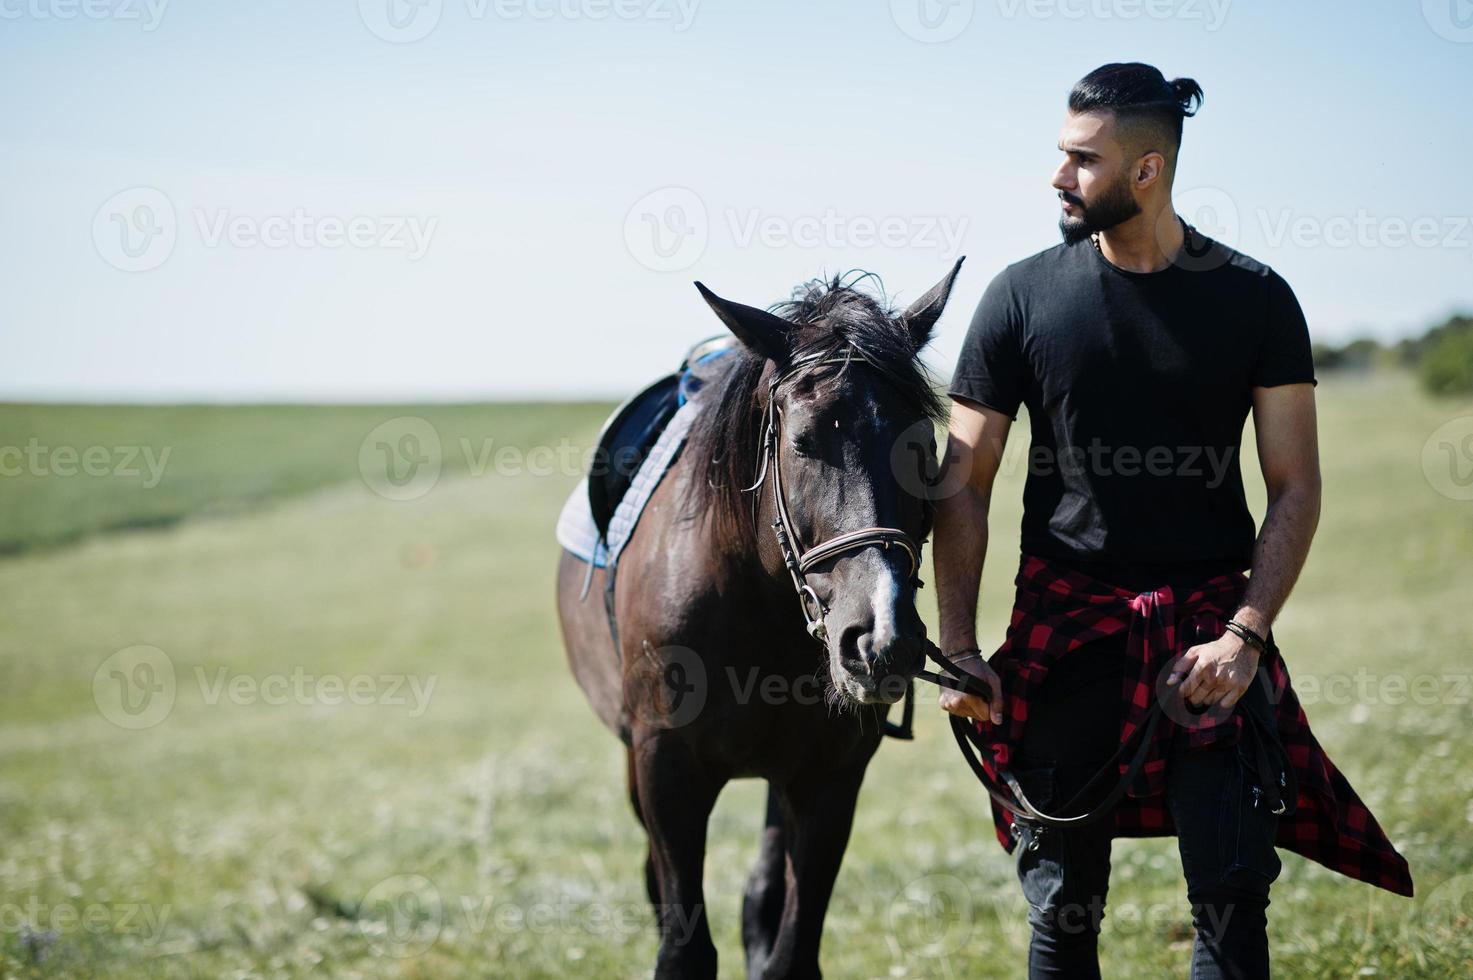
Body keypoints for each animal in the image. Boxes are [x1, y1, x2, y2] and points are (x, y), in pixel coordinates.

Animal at [556, 263, 960, 972]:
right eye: (803, 442)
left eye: (924, 447)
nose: (881, 638)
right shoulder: (665, 767)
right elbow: (683, 946)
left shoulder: (831, 774)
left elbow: (791, 949)